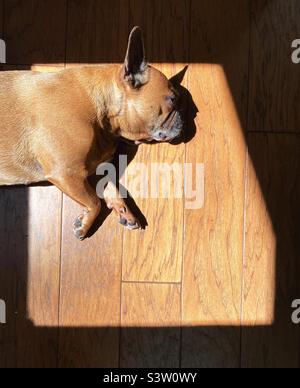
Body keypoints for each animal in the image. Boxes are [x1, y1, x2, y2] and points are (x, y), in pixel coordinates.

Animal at [0, 27, 183, 238]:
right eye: (172, 99)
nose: (184, 119)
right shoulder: (66, 173)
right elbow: (95, 201)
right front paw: (86, 222)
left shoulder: (96, 167)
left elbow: (111, 187)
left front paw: (124, 211)